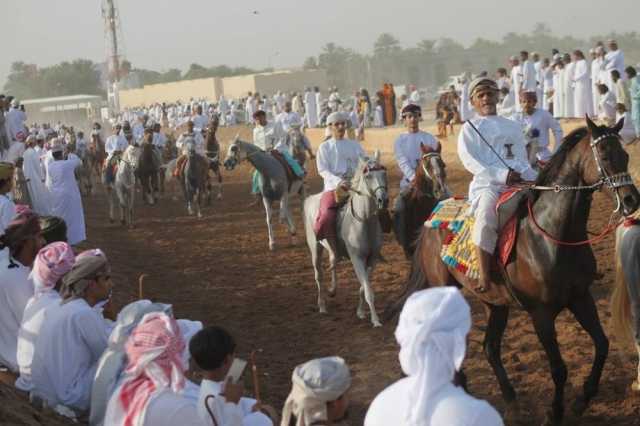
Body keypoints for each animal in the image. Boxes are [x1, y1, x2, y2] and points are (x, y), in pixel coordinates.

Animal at [304, 151, 390, 328]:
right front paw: (375, 320)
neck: (363, 221)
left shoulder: (372, 259)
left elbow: (364, 286)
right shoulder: (357, 258)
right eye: (368, 175)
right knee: (318, 275)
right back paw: (322, 306)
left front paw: (361, 312)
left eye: (384, 172)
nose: (383, 200)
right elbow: (368, 291)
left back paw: (332, 290)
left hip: (331, 249)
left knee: (333, 261)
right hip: (315, 248)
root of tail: (310, 200)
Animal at [384, 115, 640, 422]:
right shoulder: (541, 314)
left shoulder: (580, 297)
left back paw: (510, 401)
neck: (551, 236)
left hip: (496, 303)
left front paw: (582, 400)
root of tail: (432, 215)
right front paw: (555, 412)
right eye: (603, 154)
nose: (631, 201)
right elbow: (559, 369)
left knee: (491, 349)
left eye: (625, 155)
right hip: (442, 288)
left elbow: (602, 345)